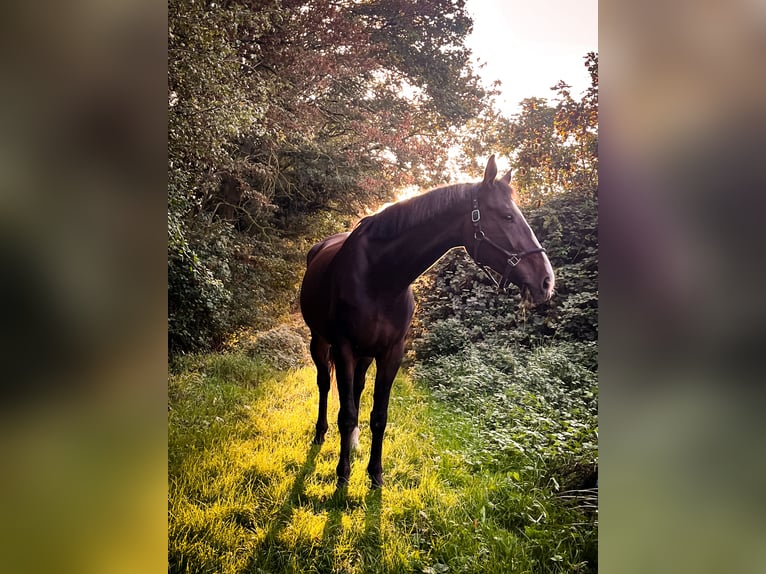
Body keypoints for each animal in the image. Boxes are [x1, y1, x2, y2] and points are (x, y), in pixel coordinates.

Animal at [299, 155, 555, 488]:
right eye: (507, 216)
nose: (546, 281)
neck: (379, 277)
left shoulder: (391, 352)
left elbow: (378, 416)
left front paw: (375, 475)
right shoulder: (342, 347)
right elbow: (347, 414)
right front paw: (342, 476)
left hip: (364, 354)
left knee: (356, 388)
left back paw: (353, 444)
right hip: (320, 342)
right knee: (324, 384)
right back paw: (320, 434)